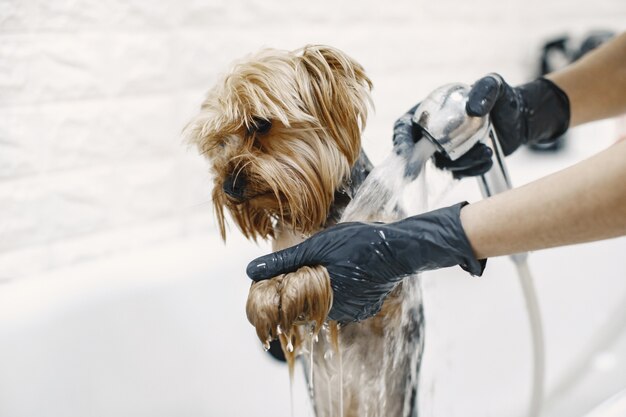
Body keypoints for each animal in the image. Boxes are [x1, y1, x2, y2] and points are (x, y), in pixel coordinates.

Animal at [183, 45, 422, 416]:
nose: (228, 186)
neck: (312, 217)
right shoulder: (280, 248)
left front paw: (297, 285)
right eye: (219, 142)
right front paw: (266, 299)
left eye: (260, 124)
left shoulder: (388, 281)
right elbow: (265, 281)